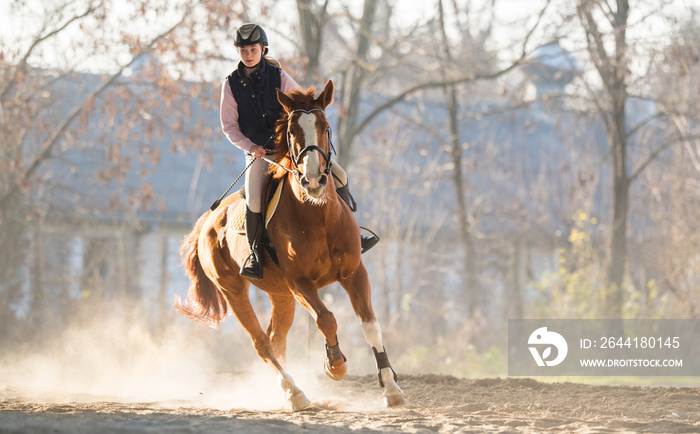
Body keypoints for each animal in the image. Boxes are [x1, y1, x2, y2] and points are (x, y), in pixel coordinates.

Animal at [176, 81, 404, 410]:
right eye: (292, 132)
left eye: (325, 127)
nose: (313, 181)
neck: (318, 214)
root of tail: (207, 221)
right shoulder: (300, 282)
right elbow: (326, 319)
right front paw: (335, 365)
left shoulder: (354, 273)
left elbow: (370, 325)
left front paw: (391, 388)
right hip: (234, 291)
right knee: (261, 343)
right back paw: (295, 392)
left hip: (280, 295)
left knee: (275, 339)